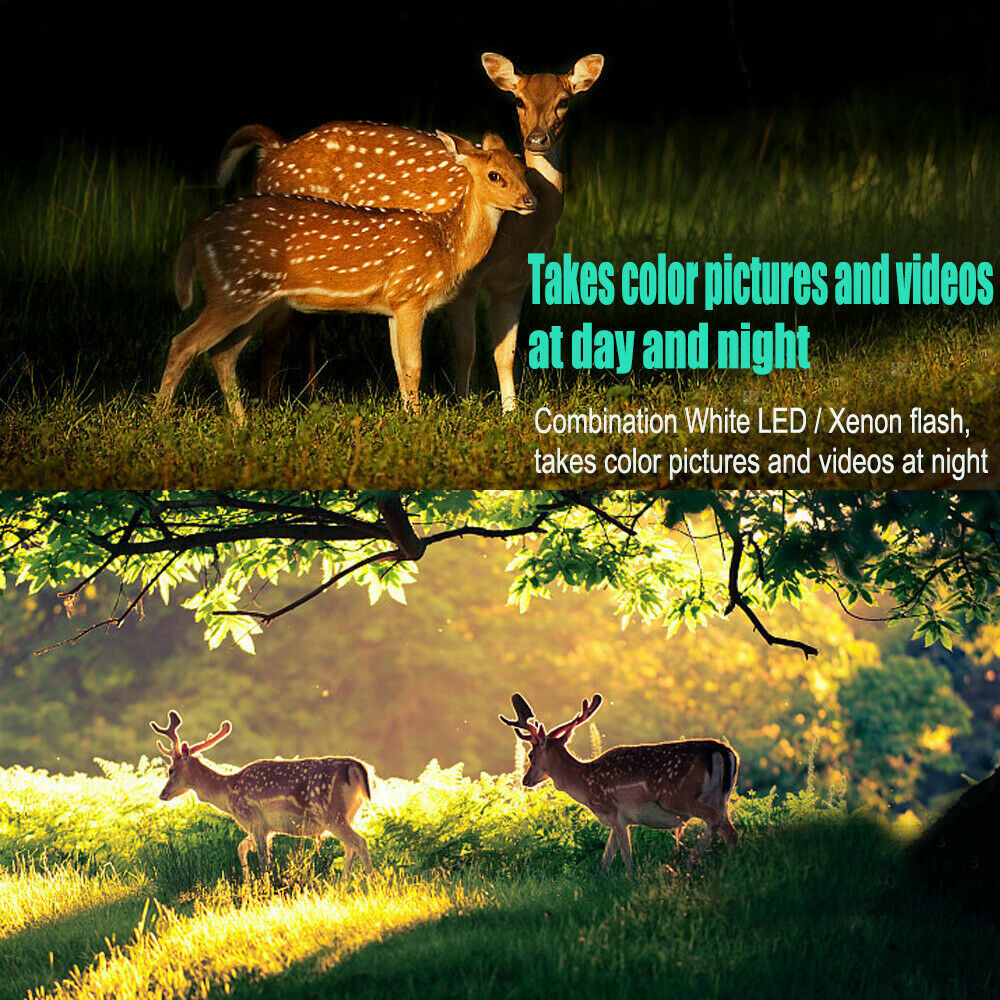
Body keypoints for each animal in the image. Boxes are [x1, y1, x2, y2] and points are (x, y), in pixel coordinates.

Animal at [151, 710, 374, 883]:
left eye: (171, 770)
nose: (162, 794)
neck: (228, 794)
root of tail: (356, 767)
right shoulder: (267, 828)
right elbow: (241, 848)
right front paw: (248, 884)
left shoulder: (255, 821)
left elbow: (263, 861)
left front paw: (265, 890)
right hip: (351, 814)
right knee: (350, 847)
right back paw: (343, 885)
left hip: (330, 814)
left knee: (360, 842)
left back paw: (372, 882)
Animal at [157, 131, 535, 420]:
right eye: (495, 175)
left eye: (523, 170)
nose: (530, 200)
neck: (447, 243)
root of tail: (197, 233)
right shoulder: (411, 295)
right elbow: (414, 365)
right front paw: (419, 422)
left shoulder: (394, 305)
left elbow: (399, 366)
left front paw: (406, 416)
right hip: (233, 291)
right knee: (183, 343)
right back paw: (160, 419)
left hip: (254, 300)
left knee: (223, 353)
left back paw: (241, 422)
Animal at [218, 52, 603, 409]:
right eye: (518, 100)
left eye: (564, 101)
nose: (537, 139)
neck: (519, 236)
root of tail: (272, 153)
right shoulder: (463, 280)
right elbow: (466, 347)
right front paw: (463, 403)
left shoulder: (515, 282)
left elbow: (504, 353)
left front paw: (510, 411)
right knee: (275, 336)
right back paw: (271, 403)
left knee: (303, 326)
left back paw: (307, 396)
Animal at [499, 694, 739, 873]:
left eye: (531, 755)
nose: (526, 780)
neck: (584, 784)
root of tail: (724, 752)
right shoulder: (623, 819)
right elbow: (606, 859)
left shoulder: (613, 811)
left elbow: (626, 857)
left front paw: (631, 880)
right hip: (721, 799)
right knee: (730, 831)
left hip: (679, 796)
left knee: (715, 821)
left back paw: (690, 861)